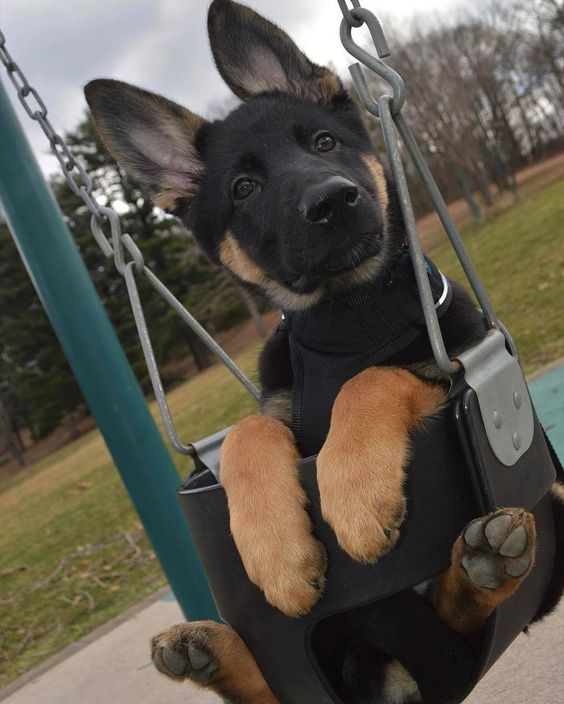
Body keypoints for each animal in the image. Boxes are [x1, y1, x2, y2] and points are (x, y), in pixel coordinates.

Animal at [85, 0, 564, 700]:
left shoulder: (450, 362)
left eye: (323, 143)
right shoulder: (278, 403)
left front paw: (357, 497)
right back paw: (207, 652)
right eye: (244, 188)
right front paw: (278, 555)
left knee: (455, 620)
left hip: (548, 509)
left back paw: (485, 567)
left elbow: (371, 380)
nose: (333, 199)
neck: (348, 316)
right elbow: (248, 433)